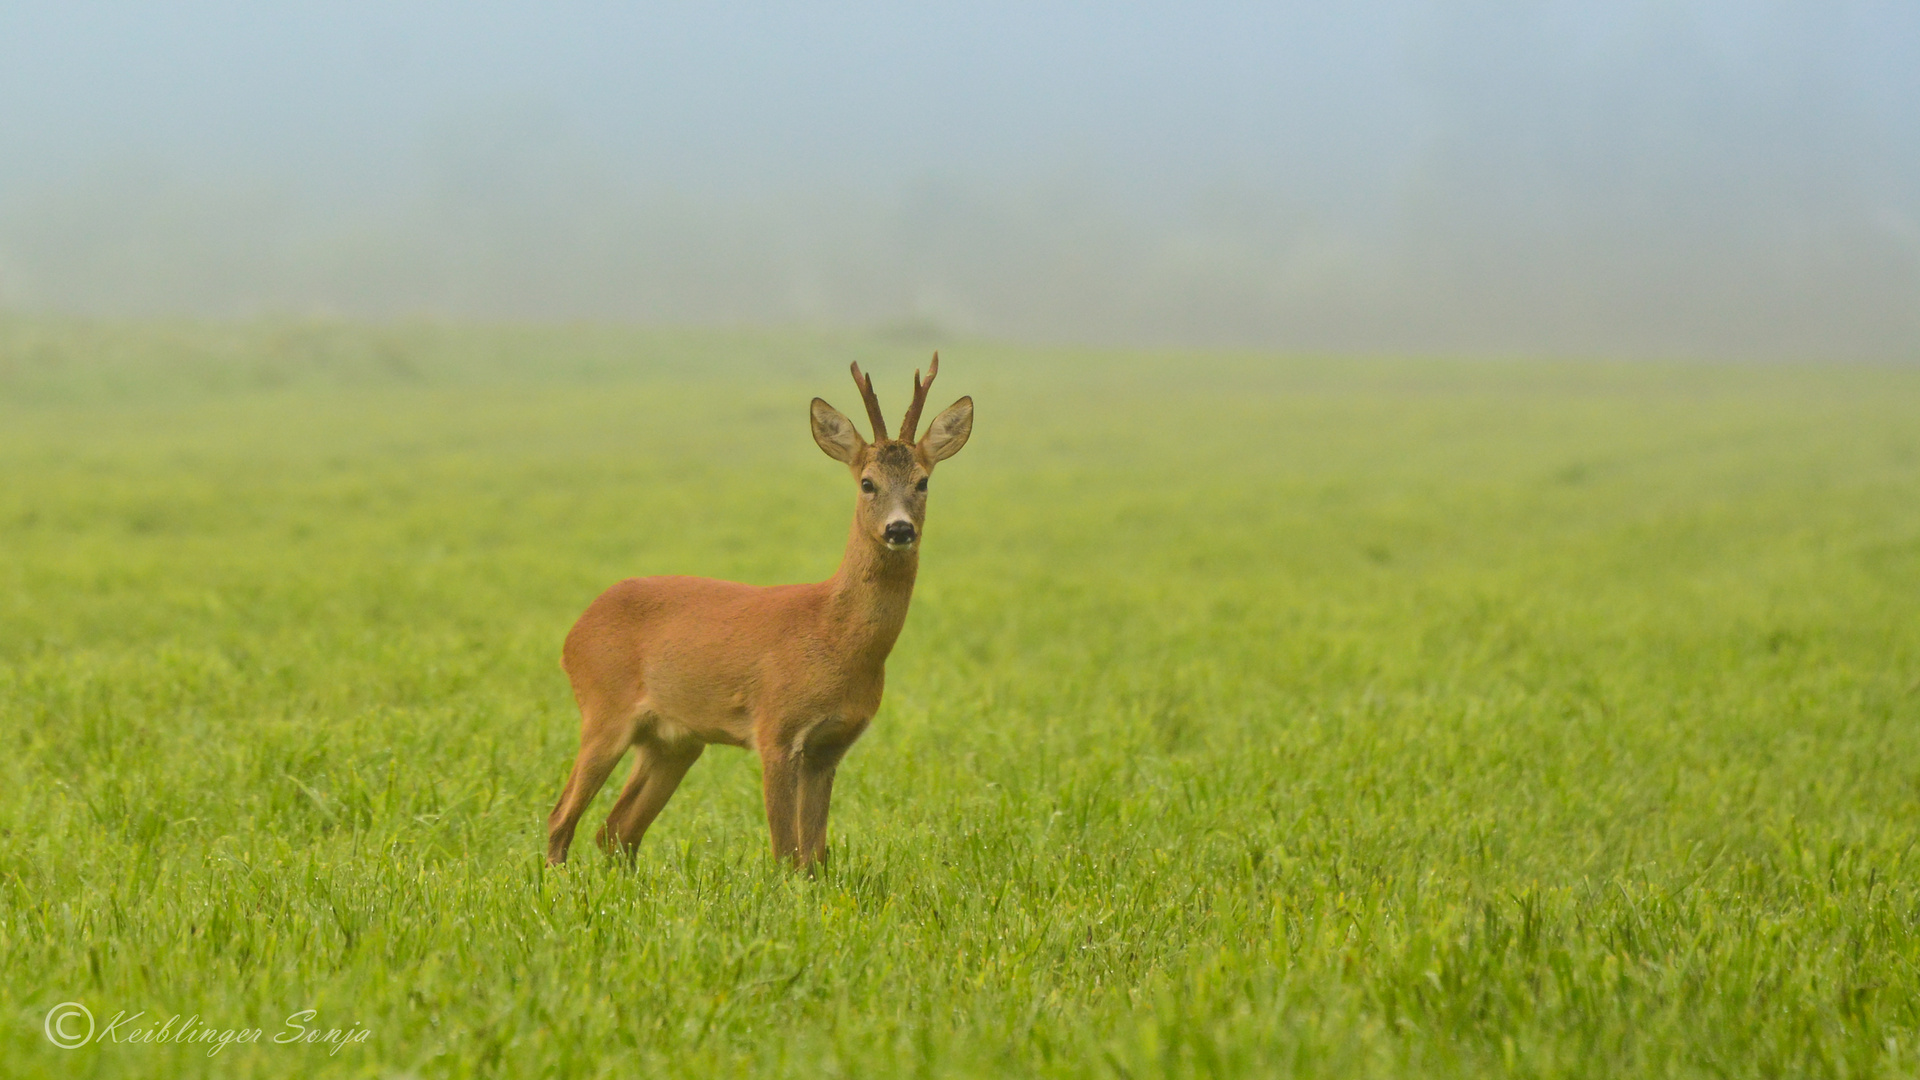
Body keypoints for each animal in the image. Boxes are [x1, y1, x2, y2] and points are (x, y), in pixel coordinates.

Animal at [552, 353, 975, 864]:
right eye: (867, 483)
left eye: (923, 482)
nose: (899, 529)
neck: (835, 636)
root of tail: (574, 632)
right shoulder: (774, 729)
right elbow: (786, 850)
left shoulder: (829, 746)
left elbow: (814, 855)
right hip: (602, 709)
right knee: (561, 819)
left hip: (674, 741)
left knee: (616, 829)